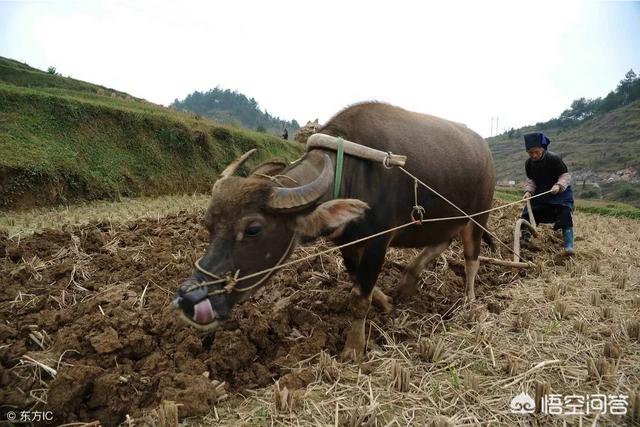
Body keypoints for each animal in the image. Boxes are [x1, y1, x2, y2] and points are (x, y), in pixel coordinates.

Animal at [174, 103, 496, 362]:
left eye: (253, 229)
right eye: (209, 224)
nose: (190, 300)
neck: (352, 173)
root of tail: (484, 150)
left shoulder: (378, 242)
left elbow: (360, 297)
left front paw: (353, 349)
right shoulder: (347, 243)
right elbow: (357, 281)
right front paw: (386, 302)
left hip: (477, 219)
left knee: (471, 260)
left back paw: (469, 303)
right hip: (446, 220)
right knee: (441, 242)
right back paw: (408, 281)